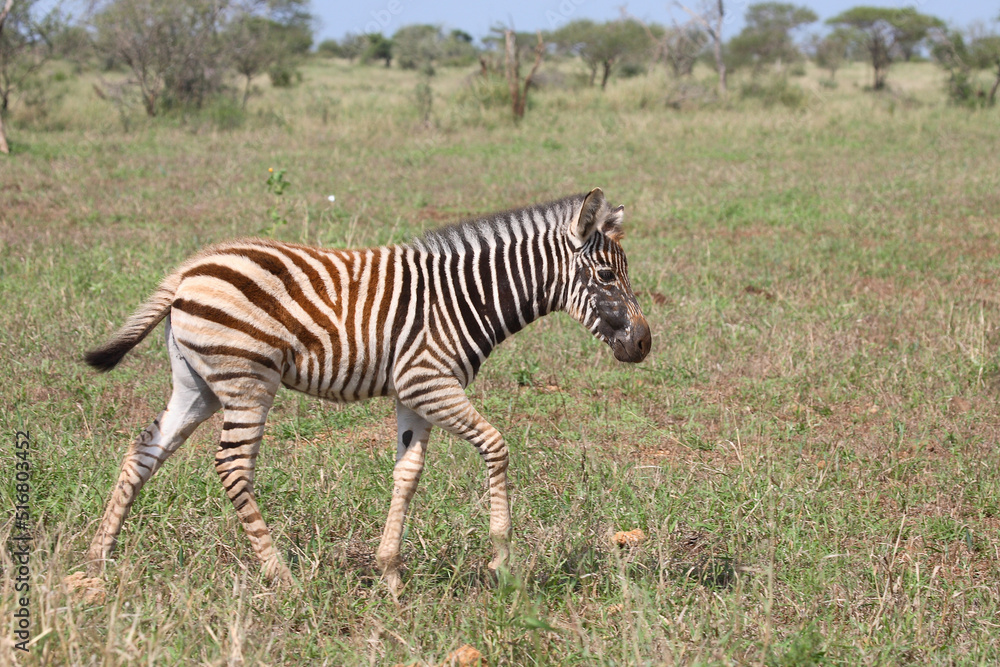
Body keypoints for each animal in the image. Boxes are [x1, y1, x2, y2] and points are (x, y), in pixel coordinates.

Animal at [84, 187, 651, 594]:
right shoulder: (429, 381)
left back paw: (97, 560)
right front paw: (502, 561)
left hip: (196, 384)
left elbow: (407, 474)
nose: (644, 343)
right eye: (606, 275)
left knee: (145, 449)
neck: (468, 296)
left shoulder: (412, 394)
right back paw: (282, 577)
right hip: (247, 381)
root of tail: (191, 267)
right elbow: (496, 446)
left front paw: (391, 575)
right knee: (232, 467)